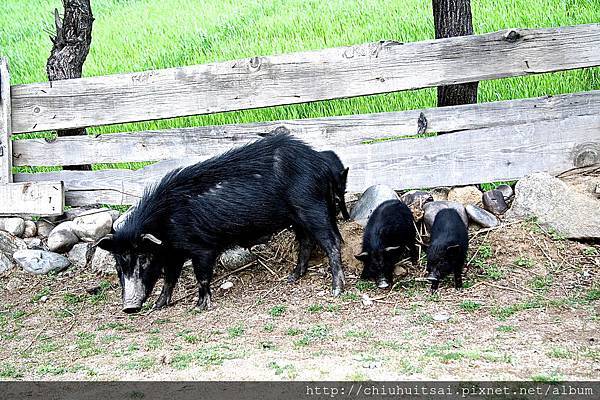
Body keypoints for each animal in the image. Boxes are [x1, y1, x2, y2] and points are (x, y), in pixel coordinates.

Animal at [96, 134, 344, 312]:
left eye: (144, 258)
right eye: (118, 264)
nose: (129, 308)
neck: (166, 223)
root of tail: (320, 162)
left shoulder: (203, 247)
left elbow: (202, 276)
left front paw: (199, 307)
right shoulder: (174, 253)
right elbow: (169, 278)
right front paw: (158, 306)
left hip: (312, 207)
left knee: (331, 242)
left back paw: (336, 290)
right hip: (298, 217)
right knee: (306, 242)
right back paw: (291, 278)